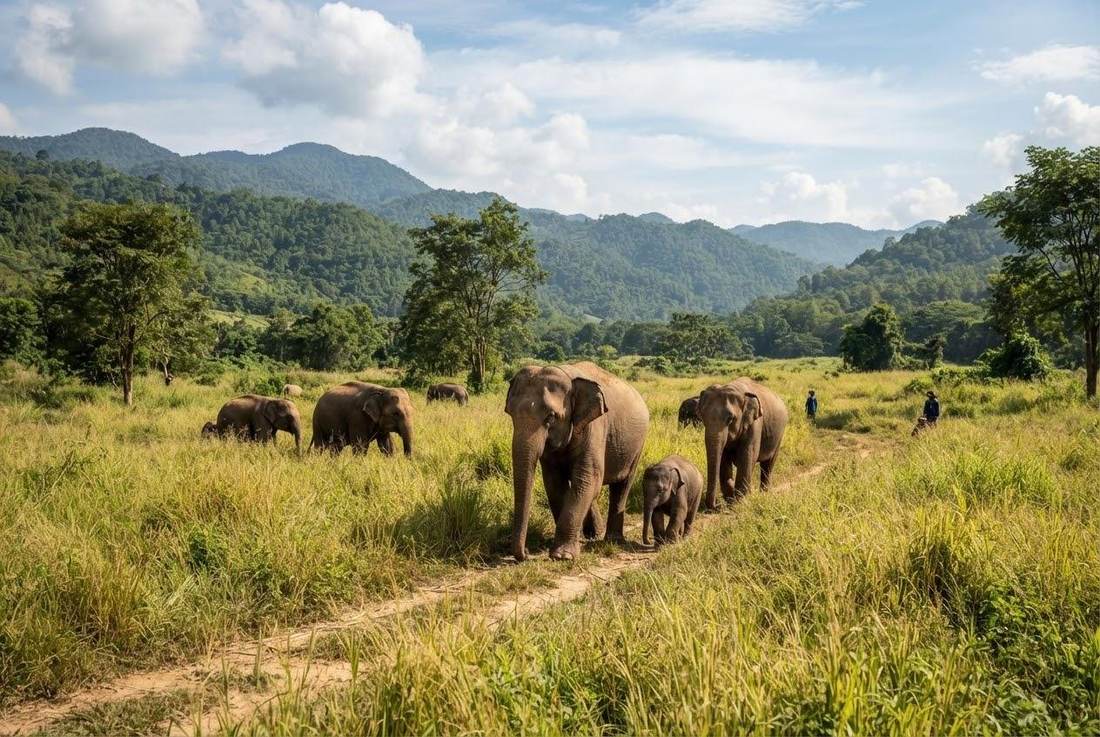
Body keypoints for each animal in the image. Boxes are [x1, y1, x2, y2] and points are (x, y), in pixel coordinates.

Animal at [505, 361, 649, 561]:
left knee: (622, 484)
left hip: (637, 446)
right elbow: (556, 484)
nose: (526, 553)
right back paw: (594, 534)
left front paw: (562, 556)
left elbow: (588, 478)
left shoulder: (594, 428)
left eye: (550, 417)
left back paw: (612, 540)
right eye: (510, 414)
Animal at [697, 379, 788, 510]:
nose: (717, 505)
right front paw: (731, 500)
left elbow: (748, 455)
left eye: (730, 419)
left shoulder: (755, 424)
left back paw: (764, 494)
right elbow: (723, 458)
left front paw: (740, 501)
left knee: (768, 464)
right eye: (702, 417)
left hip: (779, 434)